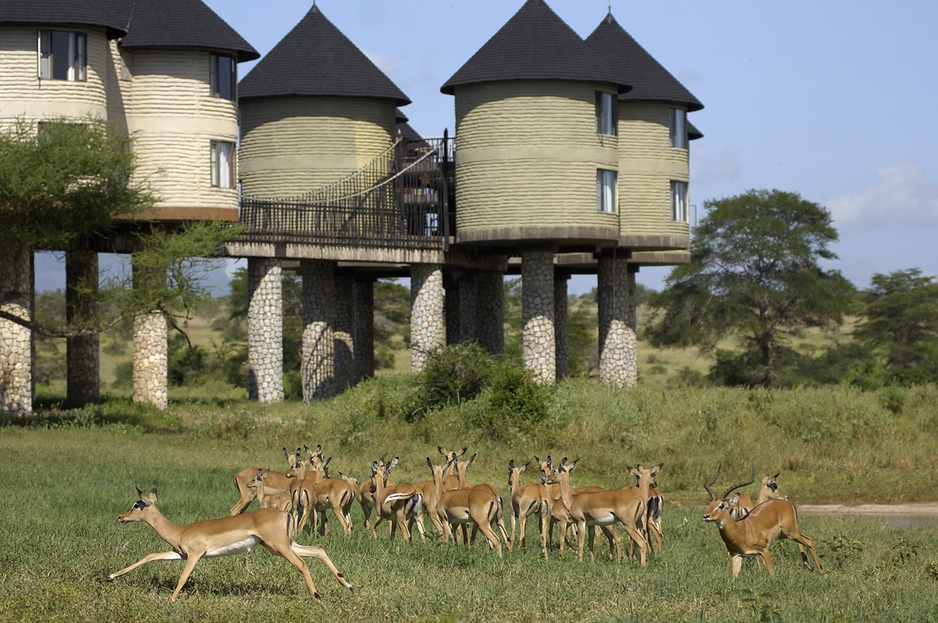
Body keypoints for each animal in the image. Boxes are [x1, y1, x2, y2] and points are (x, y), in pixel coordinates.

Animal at [106, 490, 352, 604]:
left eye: (136, 504)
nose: (120, 517)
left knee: (302, 564)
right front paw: (111, 576)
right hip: (283, 546)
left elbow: (183, 577)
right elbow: (151, 555)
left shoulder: (194, 556)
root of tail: (286, 514)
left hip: (281, 548)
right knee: (318, 550)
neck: (180, 531)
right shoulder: (179, 554)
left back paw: (317, 597)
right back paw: (347, 585)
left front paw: (171, 600)